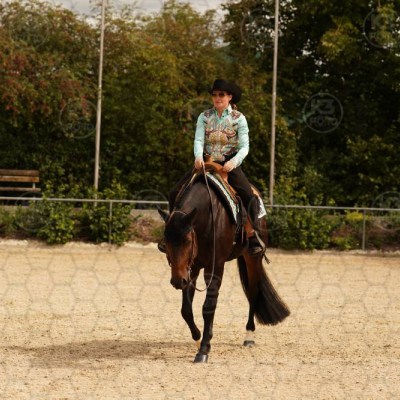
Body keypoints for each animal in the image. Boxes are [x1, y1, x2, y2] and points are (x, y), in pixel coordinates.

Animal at [158, 165, 290, 363]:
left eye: (187, 240)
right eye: (166, 241)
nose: (177, 281)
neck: (207, 217)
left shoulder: (215, 266)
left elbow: (208, 307)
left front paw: (204, 349)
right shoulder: (192, 268)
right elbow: (186, 309)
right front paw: (198, 337)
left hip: (253, 258)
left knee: (253, 293)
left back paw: (249, 336)